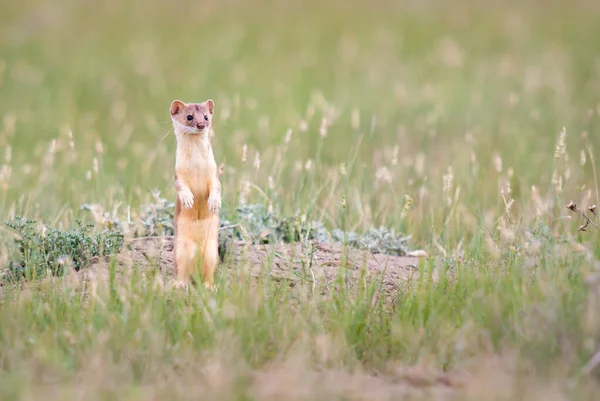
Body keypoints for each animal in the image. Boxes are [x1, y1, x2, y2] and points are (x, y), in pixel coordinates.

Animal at [169, 99, 220, 290]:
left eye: (206, 116)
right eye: (189, 116)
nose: (201, 125)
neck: (197, 164)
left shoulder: (214, 173)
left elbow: (216, 187)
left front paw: (214, 202)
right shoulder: (178, 174)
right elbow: (181, 186)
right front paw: (187, 199)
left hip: (212, 251)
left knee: (209, 271)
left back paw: (210, 286)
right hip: (181, 250)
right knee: (182, 270)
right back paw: (179, 284)